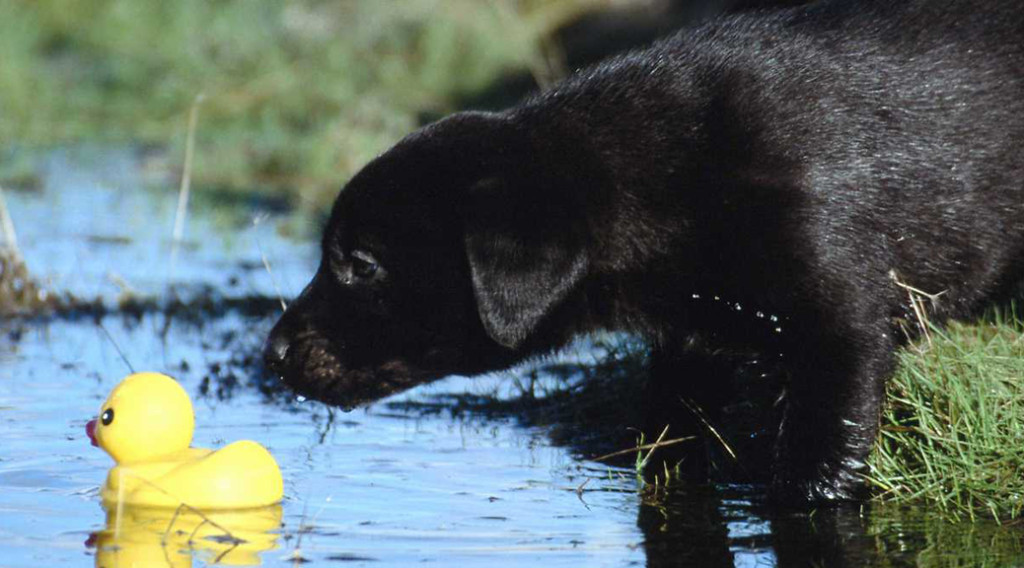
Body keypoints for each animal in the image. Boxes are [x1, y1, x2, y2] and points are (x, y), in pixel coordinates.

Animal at [266, 0, 1024, 501]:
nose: (271, 353)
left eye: (363, 266)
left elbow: (816, 467)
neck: (675, 177)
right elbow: (667, 447)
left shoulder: (841, 330)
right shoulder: (691, 336)